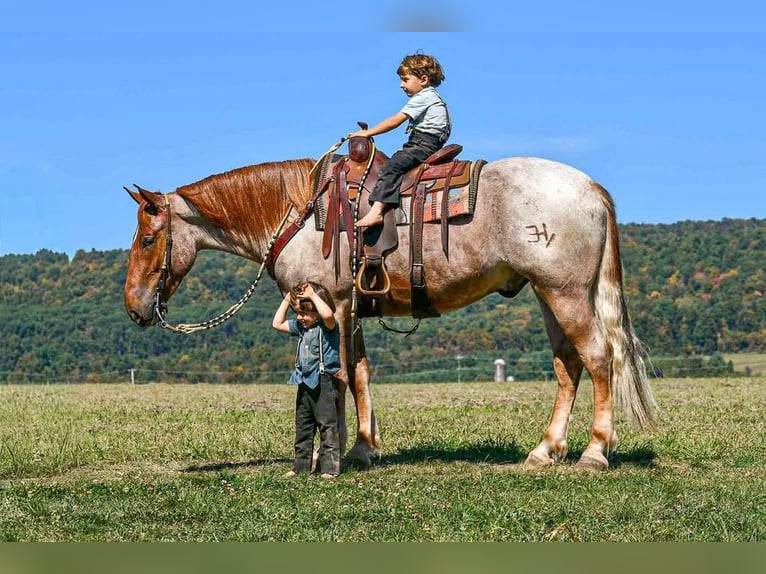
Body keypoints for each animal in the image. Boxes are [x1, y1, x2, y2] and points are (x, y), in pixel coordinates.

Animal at [123, 153, 657, 471]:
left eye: (148, 239)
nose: (133, 308)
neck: (299, 214)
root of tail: (590, 187)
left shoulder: (333, 302)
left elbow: (337, 376)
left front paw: (331, 456)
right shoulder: (350, 310)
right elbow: (359, 372)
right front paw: (362, 446)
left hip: (565, 293)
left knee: (598, 358)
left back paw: (595, 452)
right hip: (549, 295)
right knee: (568, 365)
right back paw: (545, 450)